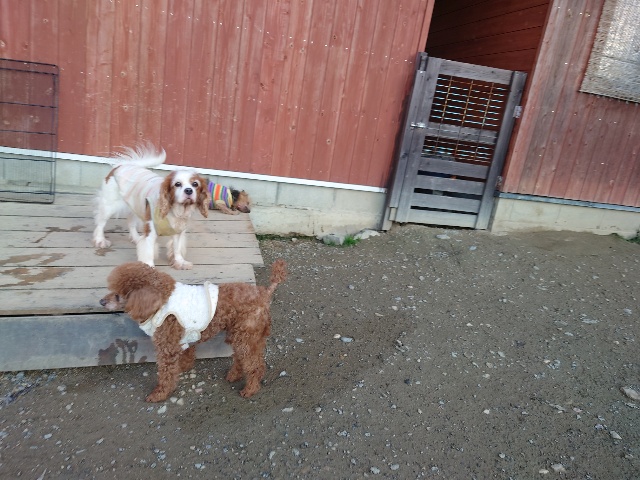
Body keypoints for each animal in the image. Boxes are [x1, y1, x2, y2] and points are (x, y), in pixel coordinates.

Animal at [99, 259, 287, 402]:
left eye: (118, 294)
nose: (101, 302)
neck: (161, 298)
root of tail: (264, 293)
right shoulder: (183, 339)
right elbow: (187, 356)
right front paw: (183, 368)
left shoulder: (167, 347)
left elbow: (166, 375)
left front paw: (159, 394)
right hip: (244, 334)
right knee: (245, 358)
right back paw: (234, 375)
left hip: (246, 334)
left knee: (255, 366)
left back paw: (250, 389)